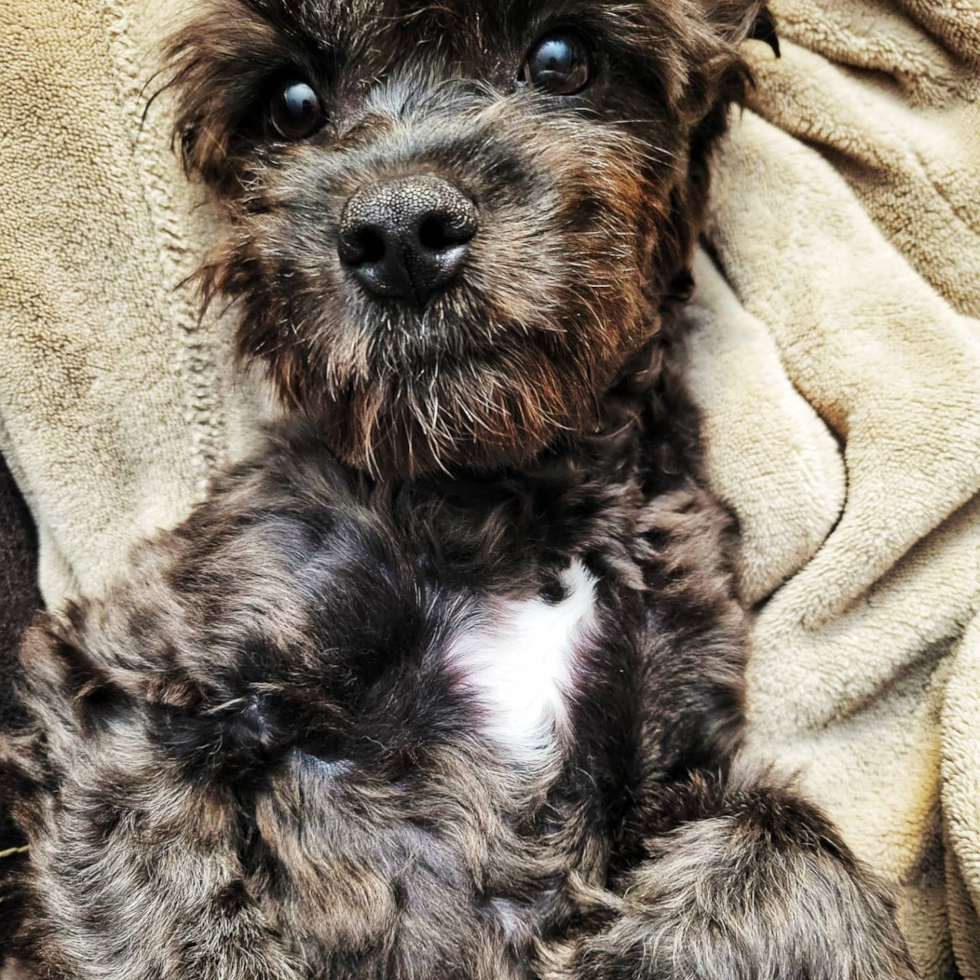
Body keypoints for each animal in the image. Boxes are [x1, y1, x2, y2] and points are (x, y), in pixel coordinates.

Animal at [0, 1, 920, 980]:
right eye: (292, 104)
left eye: (563, 58)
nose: (400, 231)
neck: (508, 492)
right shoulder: (130, 676)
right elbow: (169, 914)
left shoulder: (671, 746)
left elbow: (783, 837)